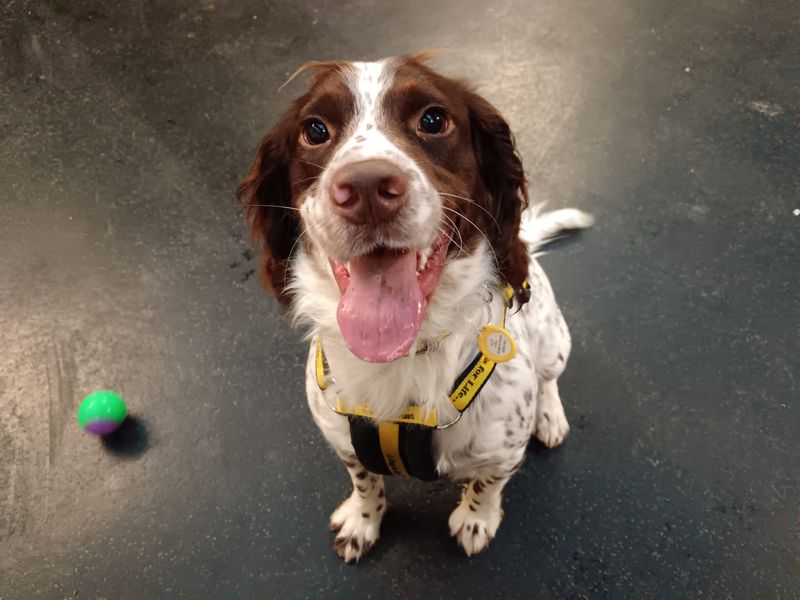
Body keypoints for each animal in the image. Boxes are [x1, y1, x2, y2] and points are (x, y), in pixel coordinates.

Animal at [234, 54, 592, 560]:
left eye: (433, 119)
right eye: (315, 130)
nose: (366, 188)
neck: (403, 355)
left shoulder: (503, 452)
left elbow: (487, 485)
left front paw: (476, 518)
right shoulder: (343, 442)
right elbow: (364, 480)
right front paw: (363, 520)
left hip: (556, 340)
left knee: (550, 379)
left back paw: (551, 416)